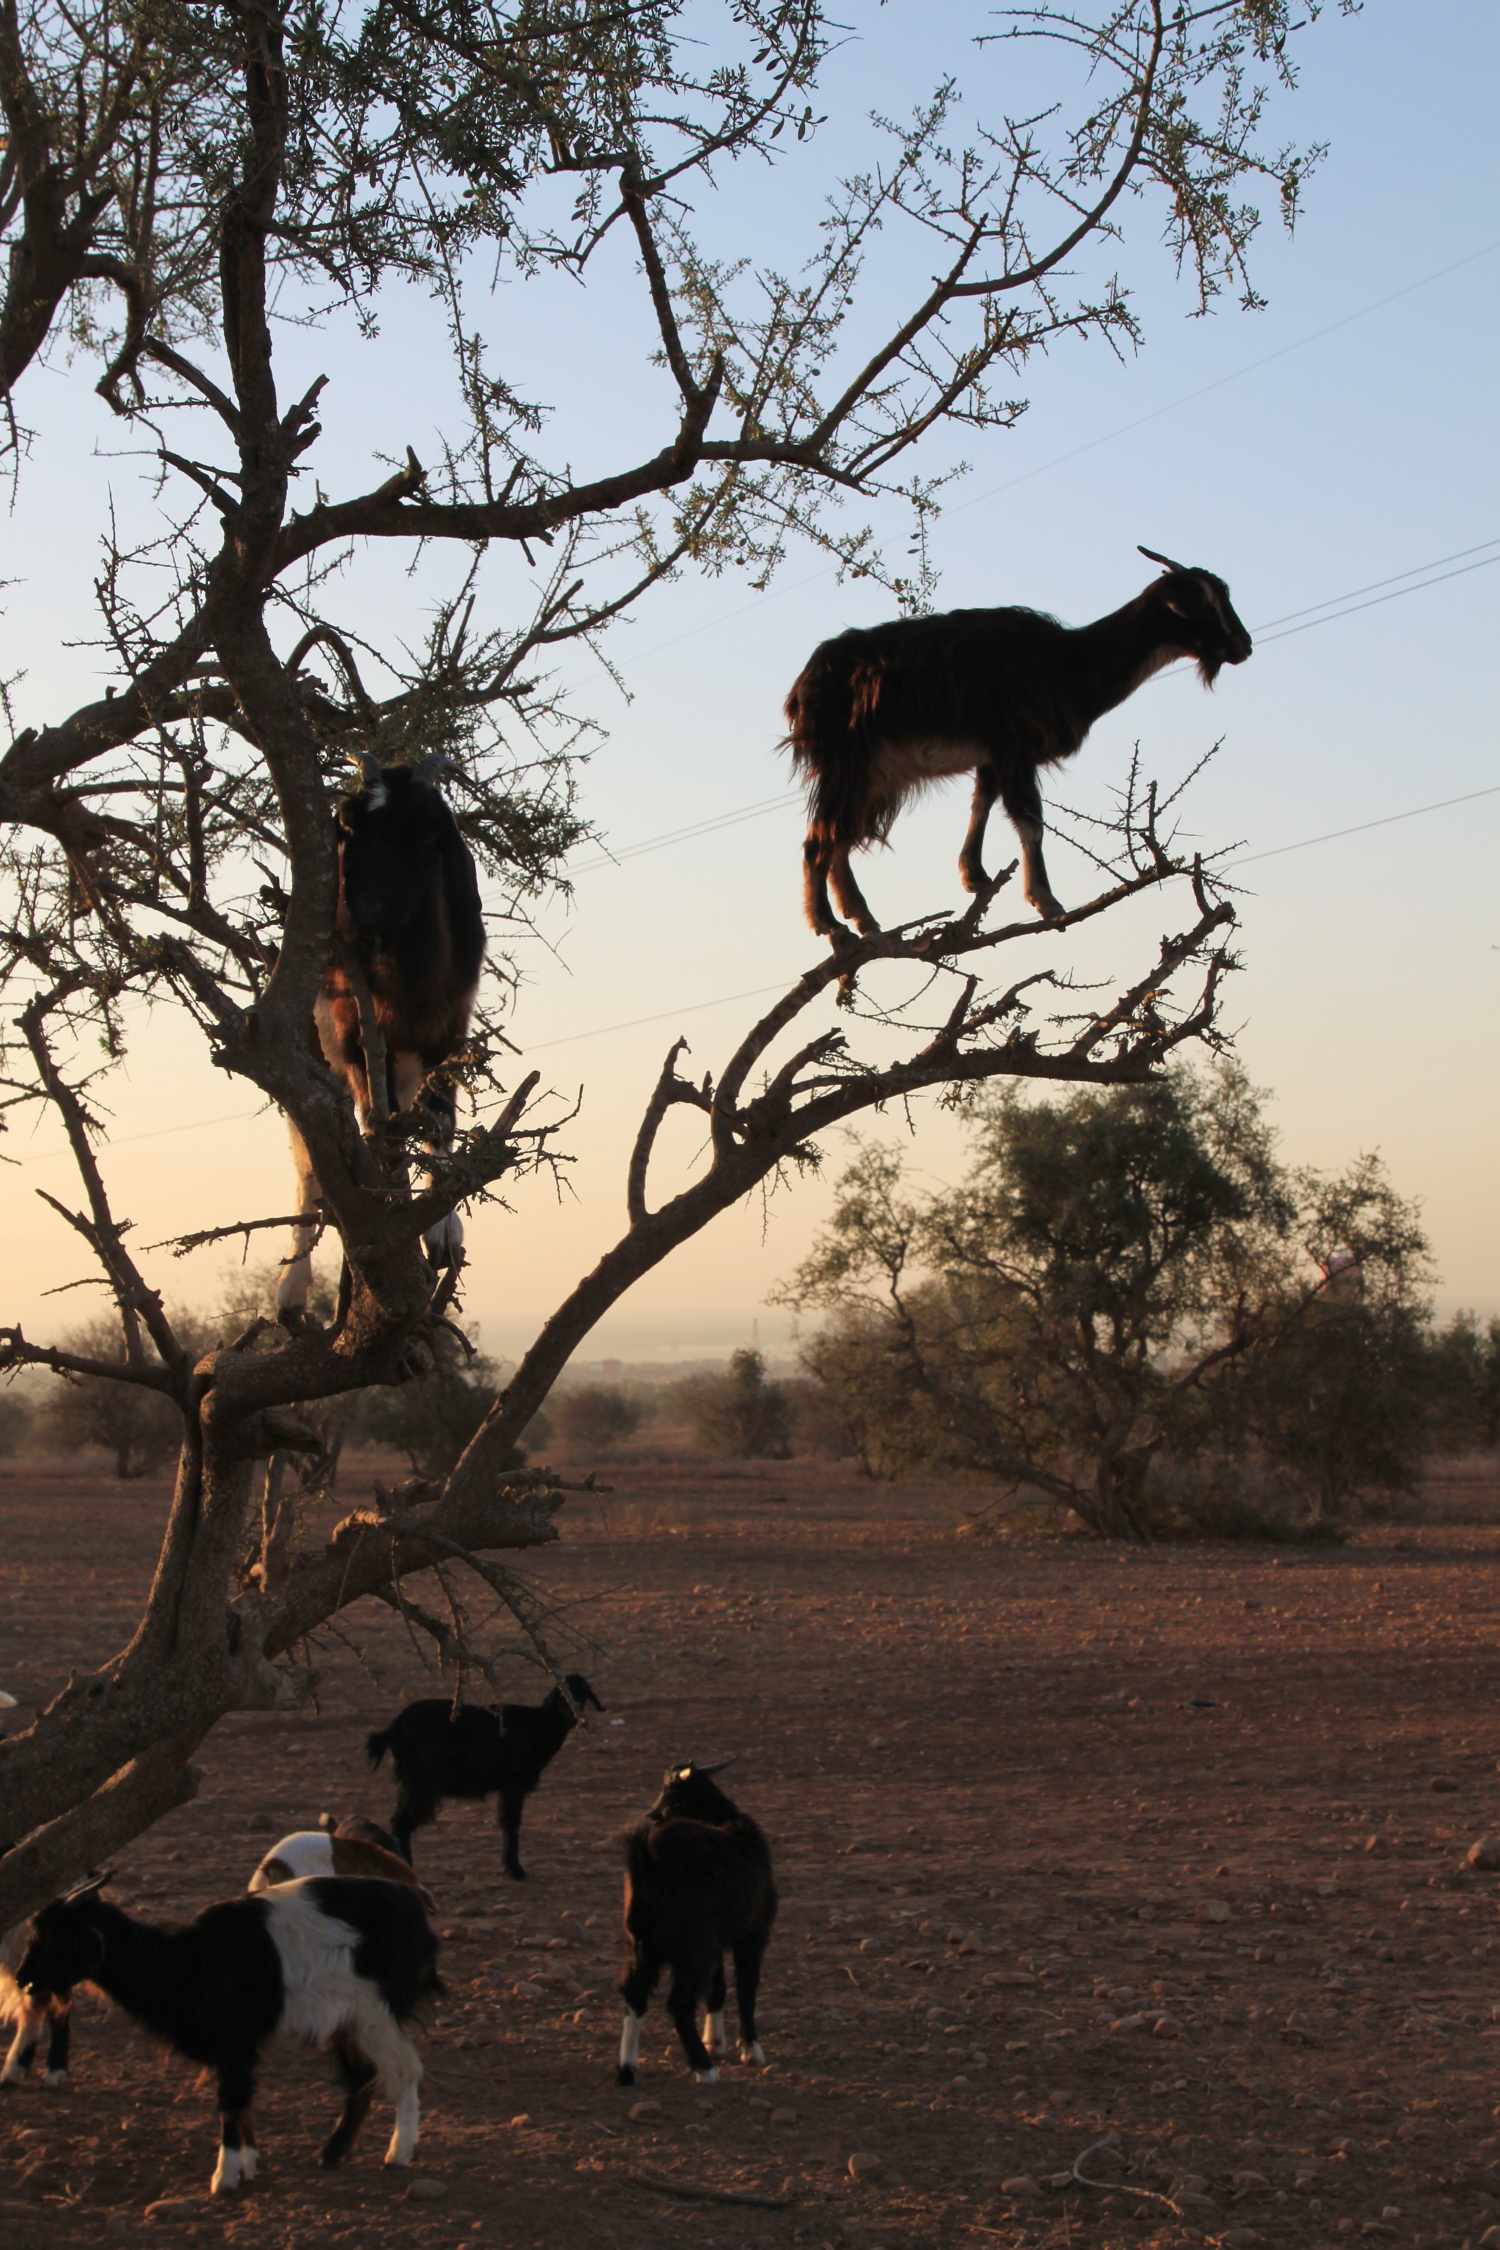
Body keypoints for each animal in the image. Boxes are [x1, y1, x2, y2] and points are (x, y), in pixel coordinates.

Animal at [16, 1872, 440, 2187]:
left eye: (56, 1939)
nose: (21, 1978)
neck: (189, 1961)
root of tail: (416, 1911)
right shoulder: (235, 2047)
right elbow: (243, 2100)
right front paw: (249, 2162)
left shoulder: (234, 2040)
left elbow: (231, 2100)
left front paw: (225, 2176)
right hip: (348, 2020)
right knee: (362, 2078)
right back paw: (333, 2153)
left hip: (376, 2012)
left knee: (405, 2070)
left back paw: (398, 2153)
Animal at [279, 756, 488, 1314]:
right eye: (348, 827)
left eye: (426, 833)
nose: (364, 918)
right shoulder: (356, 1040)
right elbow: (383, 1128)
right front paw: (400, 1222)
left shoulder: (449, 1033)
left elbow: (439, 1123)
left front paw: (442, 1233)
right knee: (310, 1158)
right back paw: (292, 1288)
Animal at [364, 1674, 602, 1881]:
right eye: (562, 1696)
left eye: (581, 1696)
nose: (575, 1720)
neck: (538, 1725)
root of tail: (394, 1727)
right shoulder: (513, 1784)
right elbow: (511, 1822)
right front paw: (515, 1870)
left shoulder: (506, 1786)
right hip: (420, 1781)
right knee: (401, 1821)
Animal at [611, 1755, 773, 2088]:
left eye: (670, 1794)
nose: (654, 1815)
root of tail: (648, 1860)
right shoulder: (752, 1933)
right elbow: (746, 1988)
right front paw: (750, 2050)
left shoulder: (716, 1940)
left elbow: (717, 1987)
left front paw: (716, 2041)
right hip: (691, 1946)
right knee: (680, 2002)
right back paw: (704, 2069)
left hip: (642, 1943)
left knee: (634, 1994)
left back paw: (627, 2068)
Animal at [787, 544, 1259, 940]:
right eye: (1199, 604)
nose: (1244, 645)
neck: (1068, 661)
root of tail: (804, 685)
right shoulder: (1015, 746)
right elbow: (1030, 819)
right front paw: (1047, 901)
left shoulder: (994, 754)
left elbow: (983, 802)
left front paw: (974, 875)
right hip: (848, 761)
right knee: (818, 838)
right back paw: (828, 923)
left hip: (875, 773)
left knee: (840, 835)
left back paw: (863, 918)